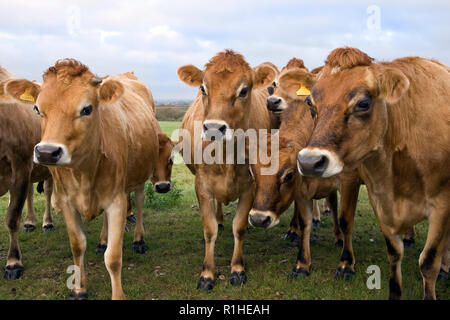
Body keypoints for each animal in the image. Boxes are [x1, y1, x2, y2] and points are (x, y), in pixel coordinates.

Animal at [8, 60, 161, 300]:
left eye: (87, 109)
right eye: (37, 109)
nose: (47, 152)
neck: (84, 172)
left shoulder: (117, 201)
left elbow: (113, 257)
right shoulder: (67, 202)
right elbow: (77, 245)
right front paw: (79, 288)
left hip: (138, 176)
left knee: (139, 200)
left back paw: (138, 240)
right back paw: (102, 241)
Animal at [178, 49, 276, 290]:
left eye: (244, 90)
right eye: (203, 88)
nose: (214, 128)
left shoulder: (250, 186)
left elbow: (239, 227)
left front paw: (237, 269)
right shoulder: (202, 186)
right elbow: (209, 229)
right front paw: (207, 273)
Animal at [298, 46, 450, 298]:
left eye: (363, 103)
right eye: (310, 103)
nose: (309, 162)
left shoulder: (442, 205)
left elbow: (429, 261)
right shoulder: (379, 198)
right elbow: (394, 252)